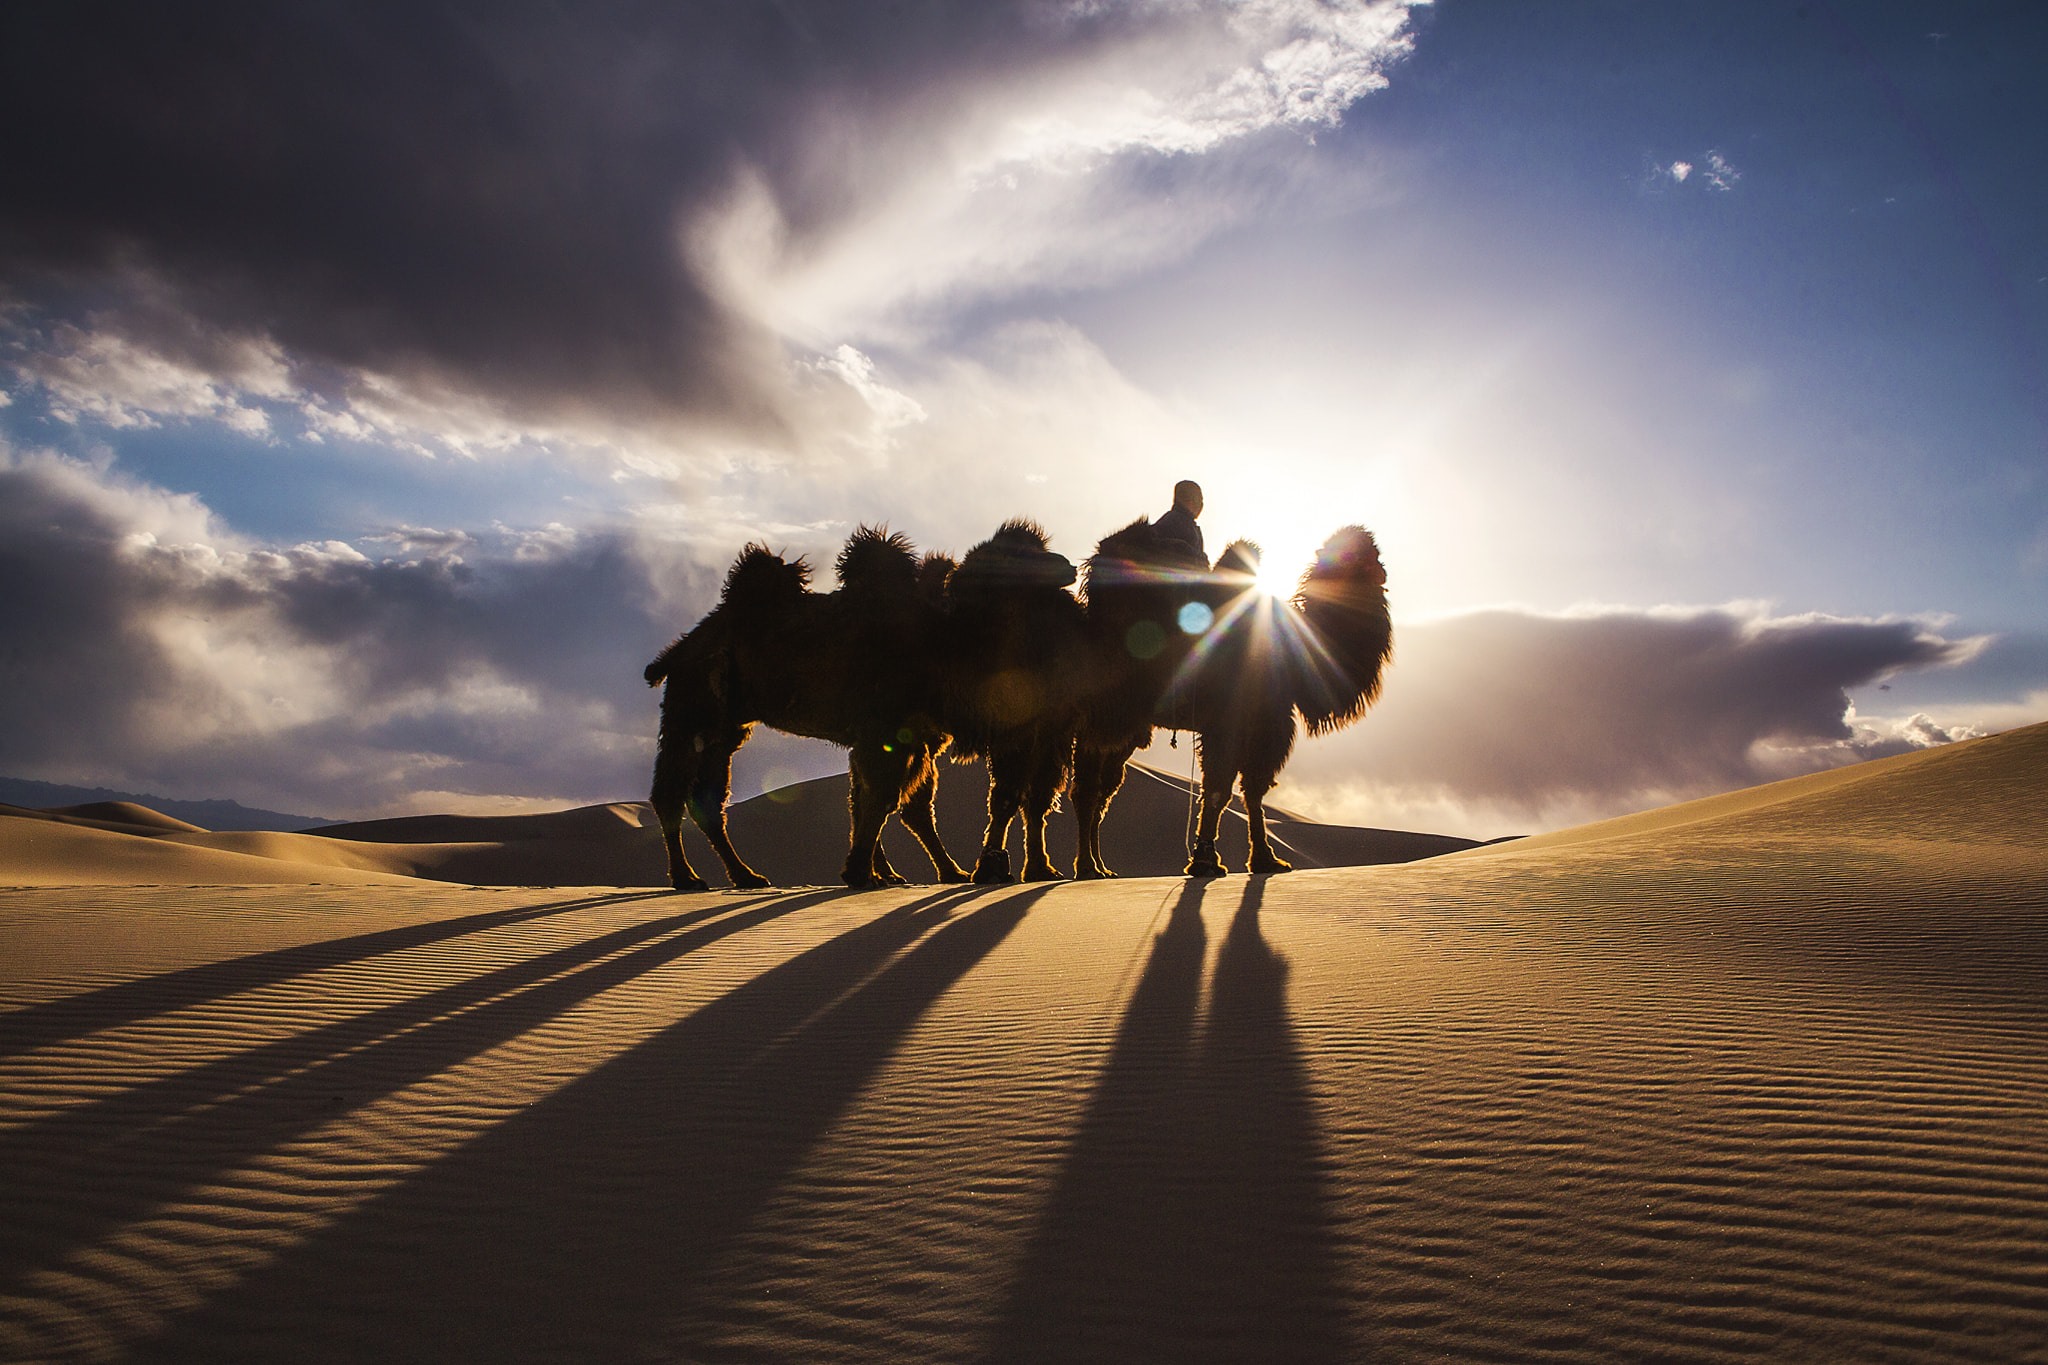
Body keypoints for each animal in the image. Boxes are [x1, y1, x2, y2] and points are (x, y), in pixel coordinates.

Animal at [638, 527, 966, 896]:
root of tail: (677, 650)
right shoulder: (884, 731)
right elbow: (883, 801)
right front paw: (864, 873)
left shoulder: (910, 738)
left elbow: (885, 805)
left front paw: (915, 873)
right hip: (691, 713)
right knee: (671, 793)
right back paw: (688, 877)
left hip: (723, 730)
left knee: (705, 800)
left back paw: (744, 876)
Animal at [1073, 523, 1392, 875]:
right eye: (1356, 556)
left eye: (1370, 552)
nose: (1381, 571)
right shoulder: (1234, 724)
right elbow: (1220, 789)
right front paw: (1205, 861)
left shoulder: (1263, 727)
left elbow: (1252, 791)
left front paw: (1264, 859)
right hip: (1098, 719)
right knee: (1087, 789)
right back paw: (1085, 867)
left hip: (1126, 732)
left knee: (1104, 790)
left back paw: (1100, 867)